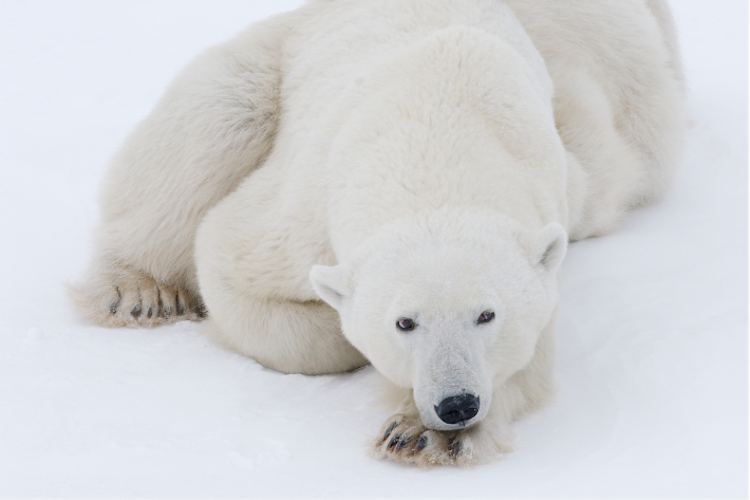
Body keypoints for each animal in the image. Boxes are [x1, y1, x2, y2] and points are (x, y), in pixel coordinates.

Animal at [69, 0, 686, 466]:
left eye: (487, 314)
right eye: (404, 322)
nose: (456, 404)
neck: (440, 120)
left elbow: (530, 356)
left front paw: (420, 433)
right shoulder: (305, 206)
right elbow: (228, 258)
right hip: (278, 53)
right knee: (215, 118)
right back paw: (139, 293)